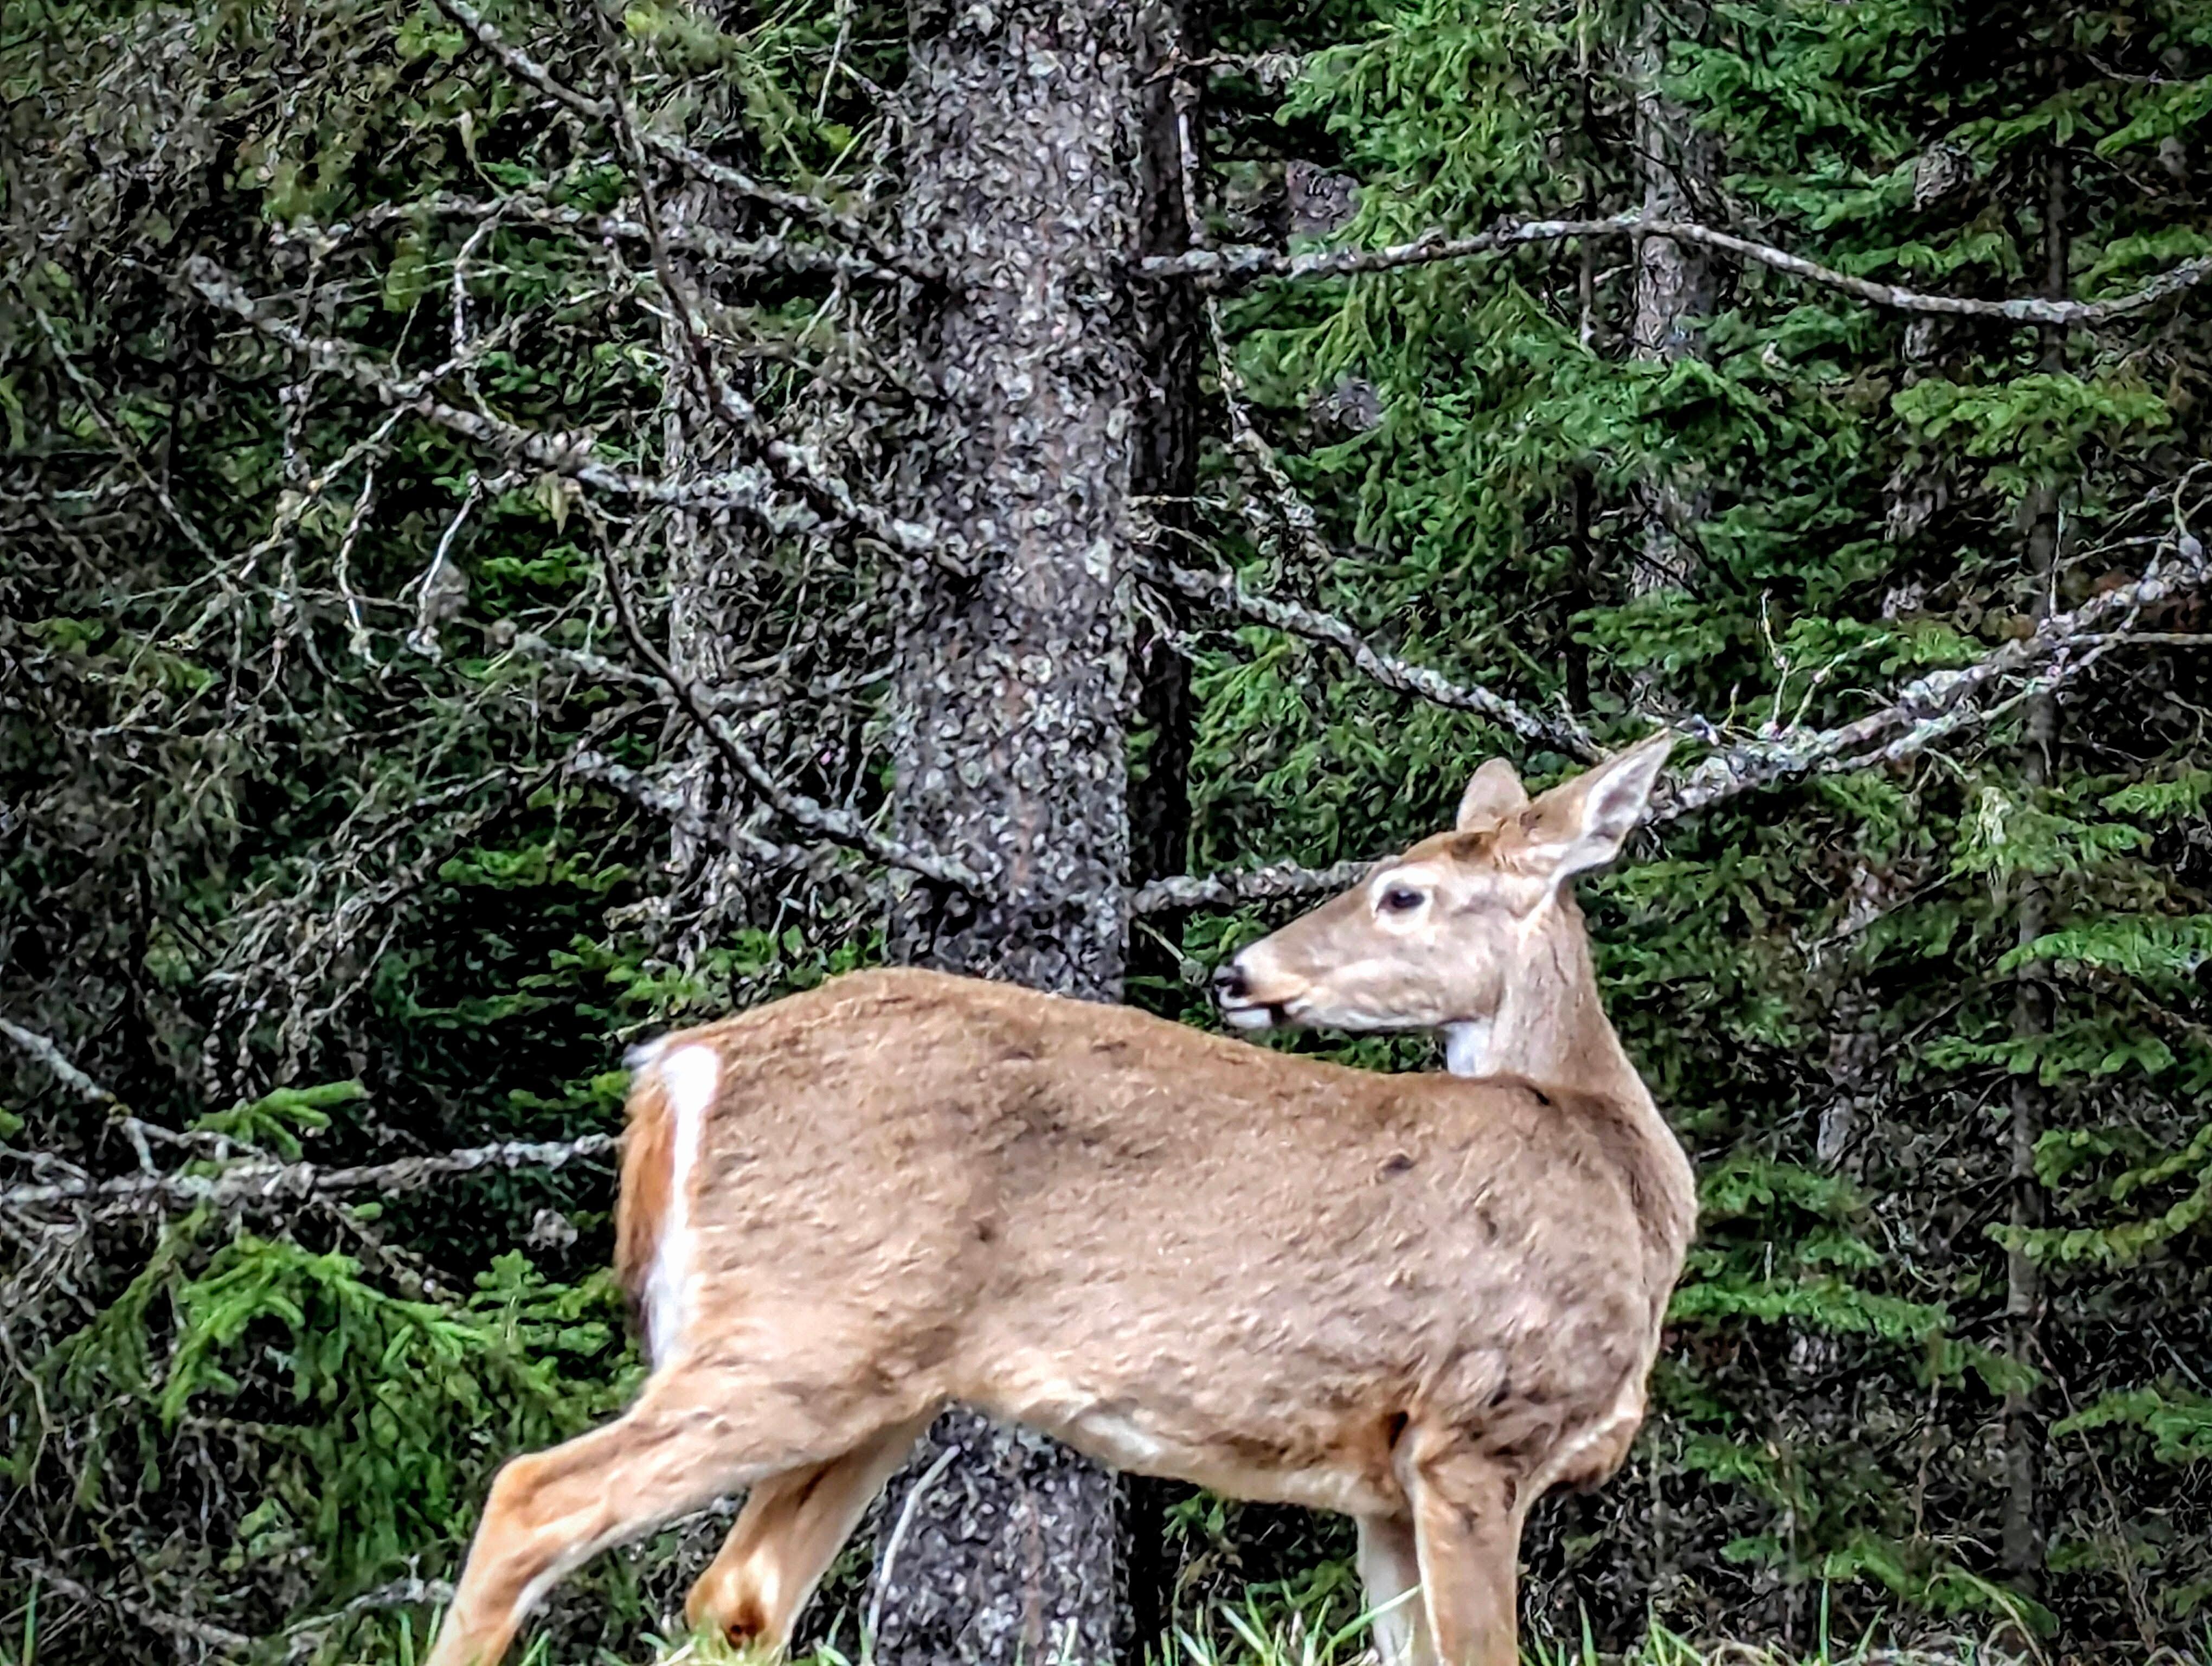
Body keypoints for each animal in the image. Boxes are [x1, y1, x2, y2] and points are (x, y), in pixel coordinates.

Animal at [423, 734, 1696, 1666]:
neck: (1622, 1173)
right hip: (801, 1330)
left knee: (736, 1596)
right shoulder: (1480, 1427)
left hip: (877, 1378)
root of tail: (678, 1068)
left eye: (1404, 894)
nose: (1237, 971)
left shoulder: (1386, 1480)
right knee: (534, 1496)